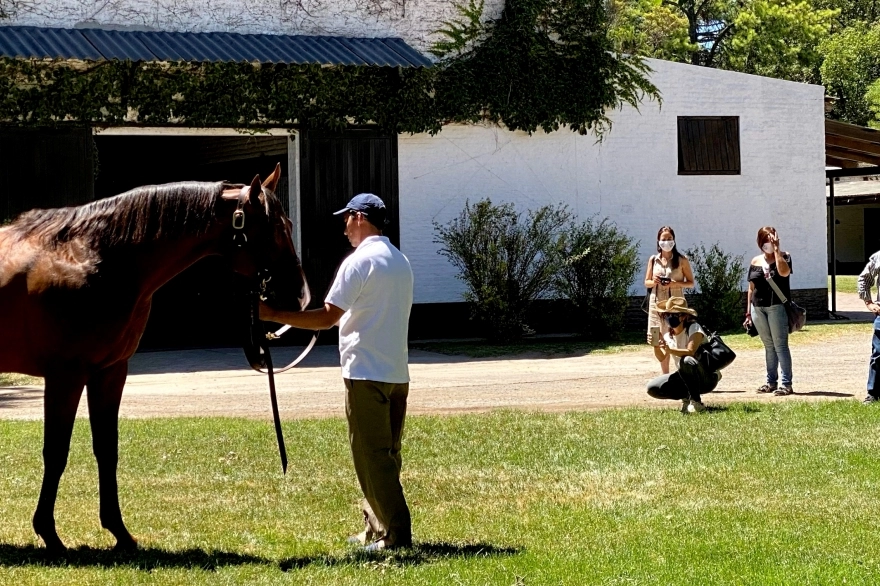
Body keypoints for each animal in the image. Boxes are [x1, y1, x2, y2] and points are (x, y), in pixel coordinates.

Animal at [0, 162, 310, 548]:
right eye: (271, 229)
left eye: (288, 225)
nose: (299, 295)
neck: (94, 257)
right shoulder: (65, 376)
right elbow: (56, 452)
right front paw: (50, 535)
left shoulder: (109, 372)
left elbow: (107, 449)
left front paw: (119, 532)